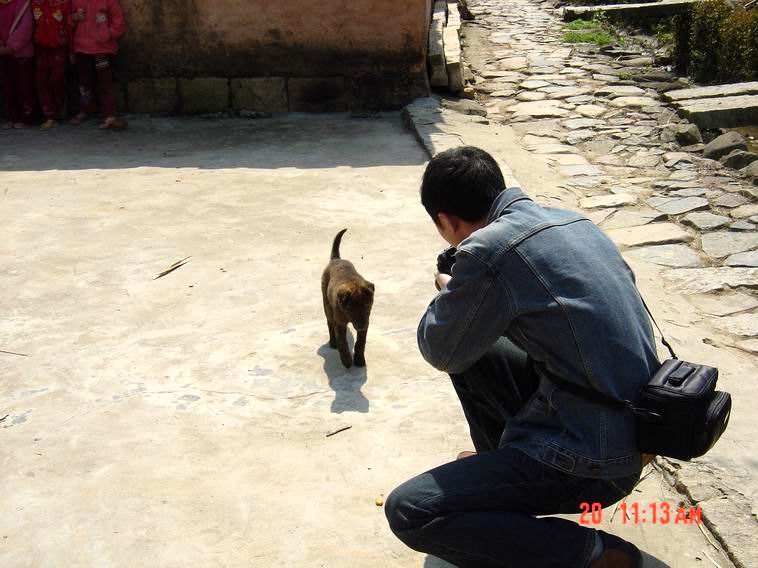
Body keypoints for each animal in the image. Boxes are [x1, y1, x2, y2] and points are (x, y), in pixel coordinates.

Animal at [321, 229, 375, 368]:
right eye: (351, 309)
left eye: (366, 307)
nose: (361, 326)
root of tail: (336, 259)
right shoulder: (339, 323)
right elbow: (342, 342)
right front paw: (346, 360)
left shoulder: (365, 323)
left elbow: (361, 343)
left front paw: (359, 360)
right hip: (327, 306)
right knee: (330, 323)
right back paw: (333, 342)